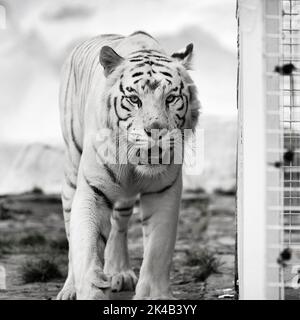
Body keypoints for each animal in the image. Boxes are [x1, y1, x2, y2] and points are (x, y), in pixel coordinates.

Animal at [57, 31, 200, 298]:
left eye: (171, 98)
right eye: (134, 99)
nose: (156, 130)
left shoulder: (163, 192)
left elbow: (157, 250)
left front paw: (154, 295)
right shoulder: (93, 190)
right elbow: (85, 247)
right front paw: (90, 289)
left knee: (118, 225)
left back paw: (119, 272)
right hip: (72, 168)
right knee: (71, 233)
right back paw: (70, 288)